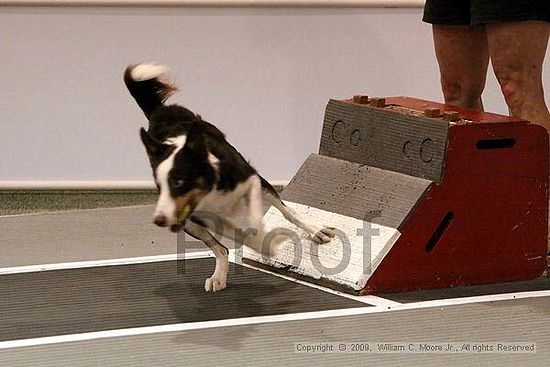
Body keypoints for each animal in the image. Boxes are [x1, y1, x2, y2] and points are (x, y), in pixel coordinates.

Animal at [125, 64, 336, 294]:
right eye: (159, 185)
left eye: (179, 181)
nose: (159, 220)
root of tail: (160, 112)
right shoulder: (199, 215)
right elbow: (240, 235)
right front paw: (263, 244)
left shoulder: (251, 179)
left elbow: (269, 214)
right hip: (190, 224)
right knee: (222, 249)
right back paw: (219, 276)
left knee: (285, 210)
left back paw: (314, 231)